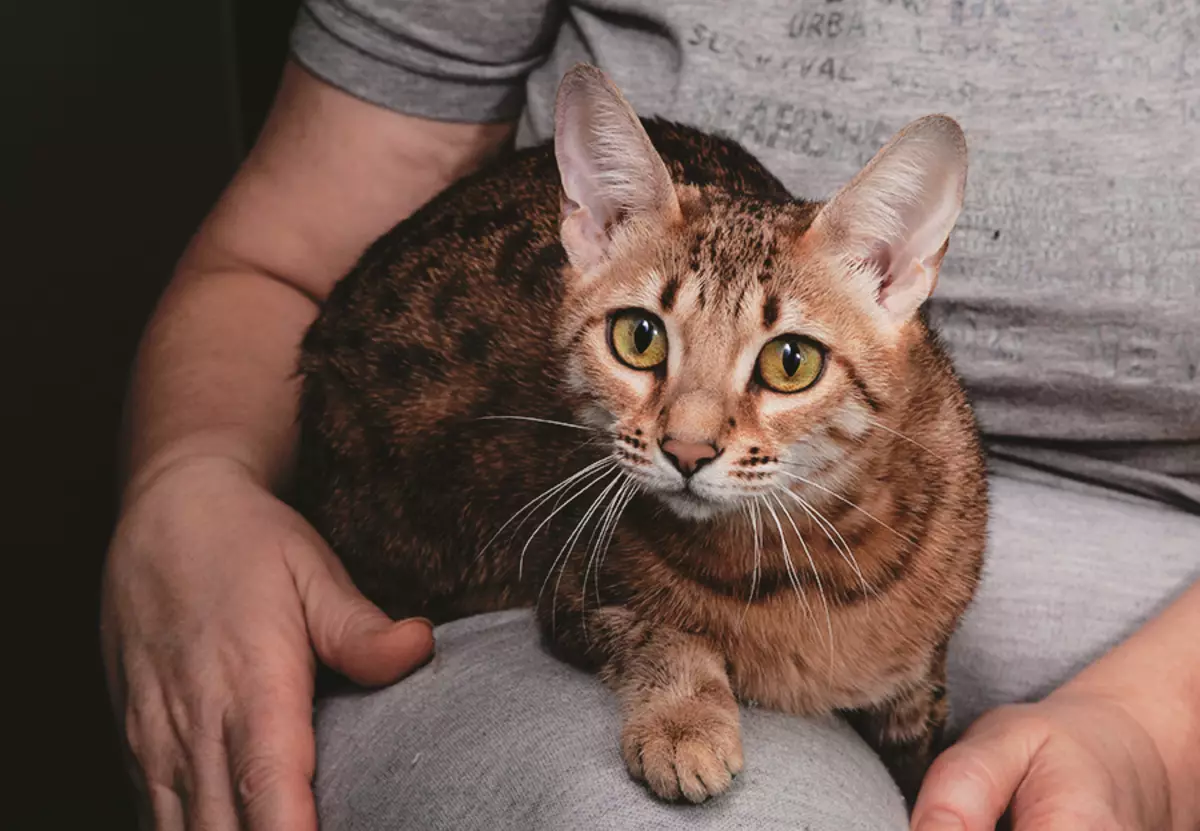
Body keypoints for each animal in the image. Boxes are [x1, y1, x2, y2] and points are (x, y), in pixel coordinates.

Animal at [297, 63, 984, 806]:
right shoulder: (575, 594)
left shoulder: (918, 689)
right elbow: (665, 634)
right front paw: (685, 724)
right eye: (640, 337)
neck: (802, 562)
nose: (687, 449)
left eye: (791, 360)